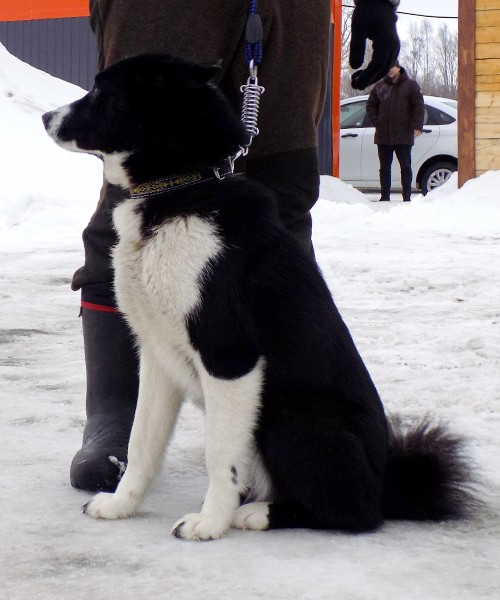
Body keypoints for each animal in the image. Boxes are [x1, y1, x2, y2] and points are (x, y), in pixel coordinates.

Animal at [43, 54, 475, 541]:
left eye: (102, 91)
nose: (45, 117)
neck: (181, 191)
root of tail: (387, 483)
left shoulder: (230, 356)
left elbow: (219, 456)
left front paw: (210, 522)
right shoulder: (158, 357)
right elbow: (141, 441)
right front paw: (122, 504)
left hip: (287, 414)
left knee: (355, 514)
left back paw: (256, 513)